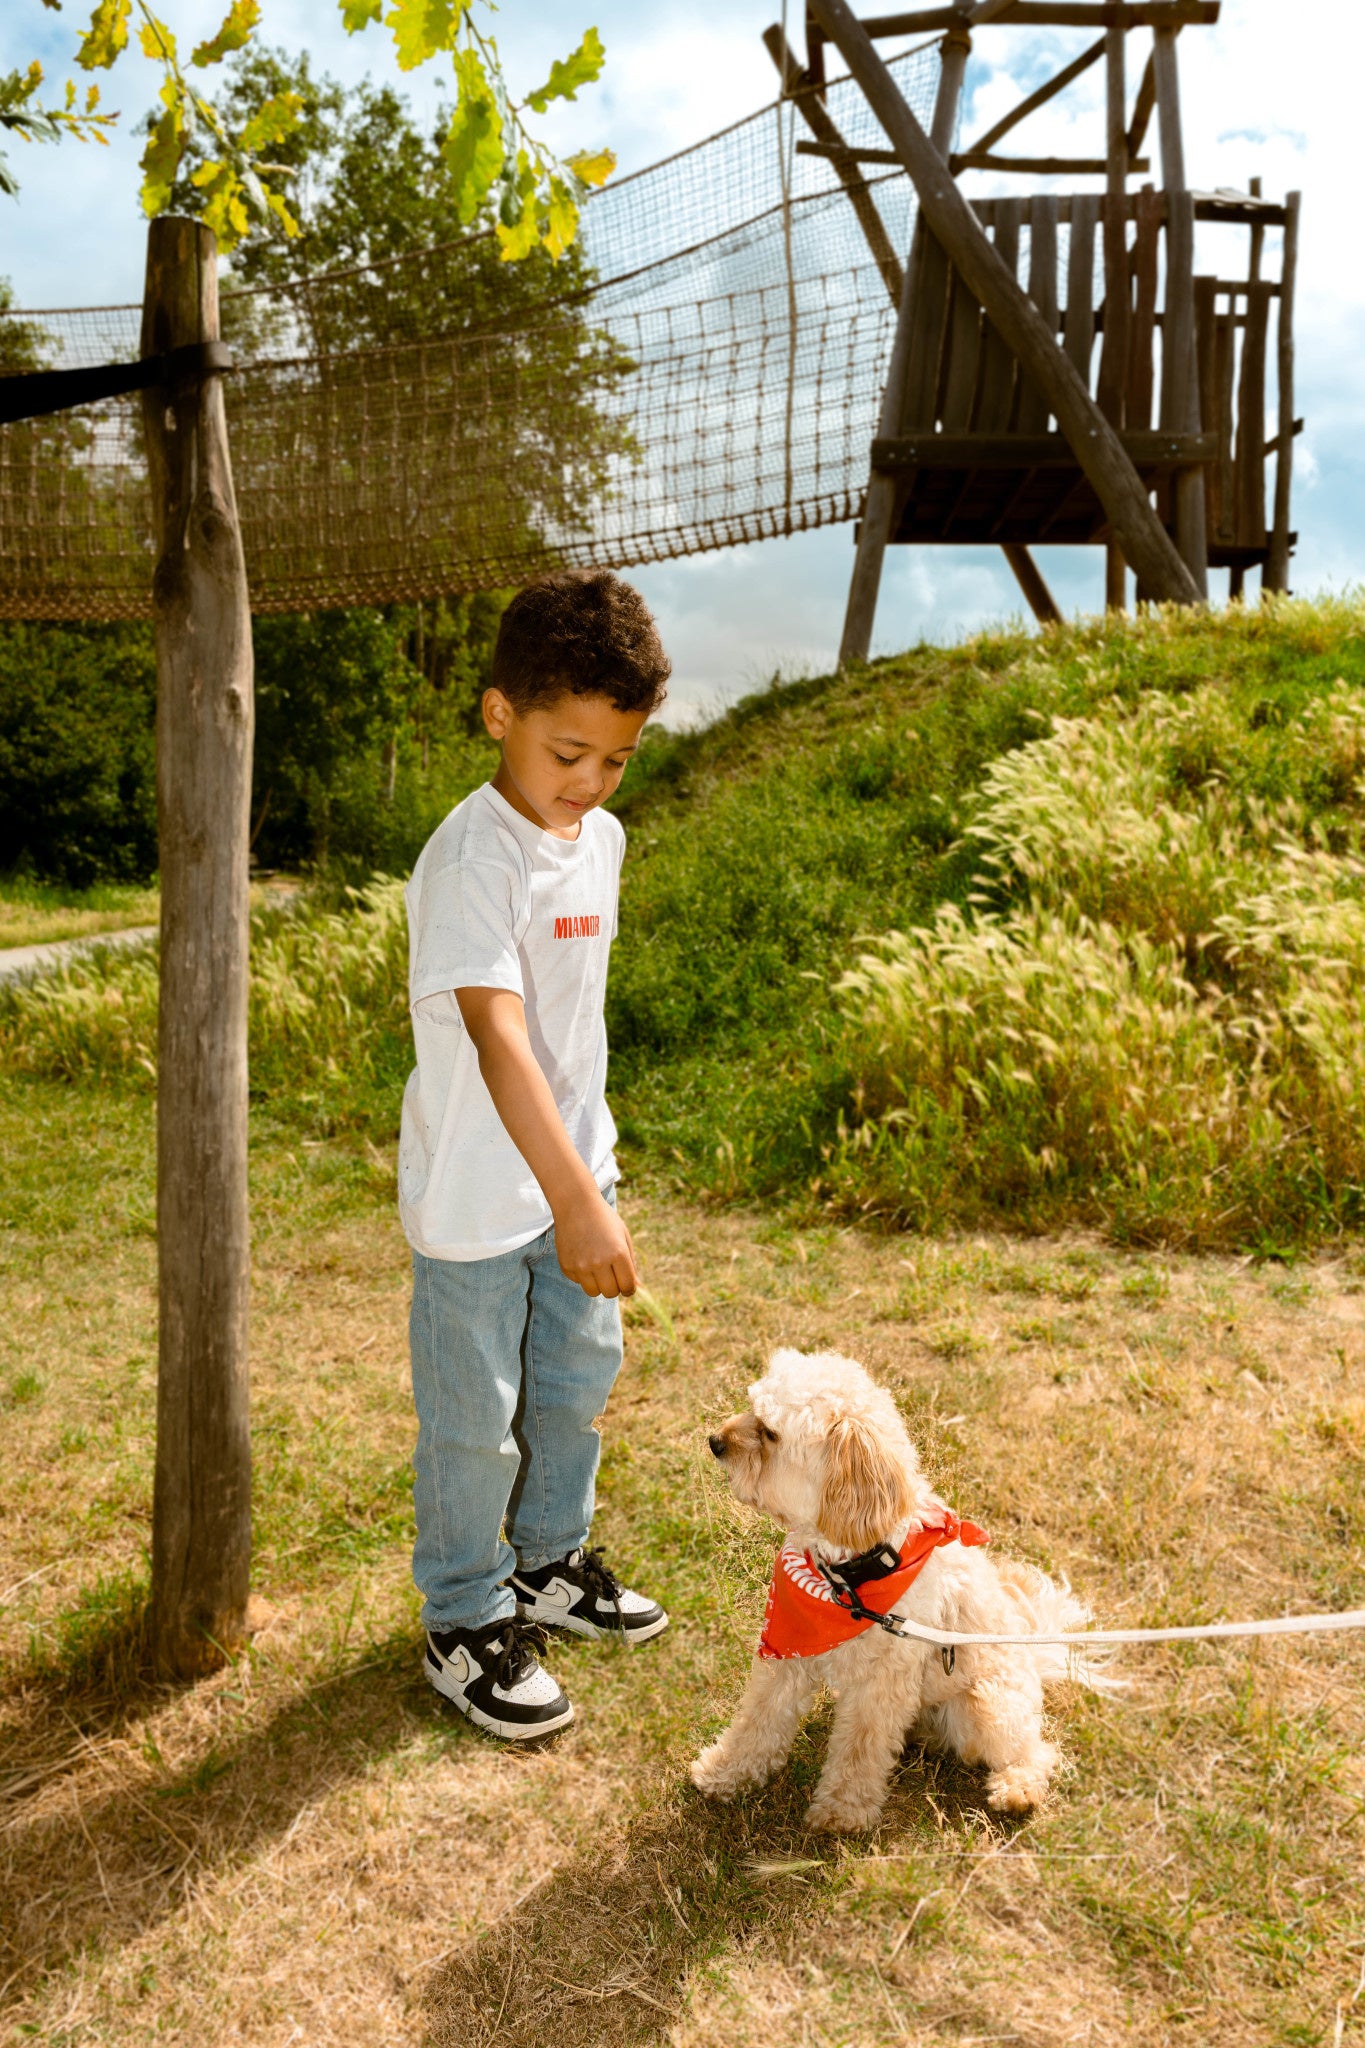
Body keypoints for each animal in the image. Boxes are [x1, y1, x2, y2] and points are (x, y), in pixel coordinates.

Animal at [691, 1347, 1111, 1833]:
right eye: (752, 1408)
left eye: (771, 1433)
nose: (714, 1441)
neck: (846, 1580)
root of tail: (1032, 1654)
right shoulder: (787, 1653)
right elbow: (757, 1721)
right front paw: (724, 1773)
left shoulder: (881, 1682)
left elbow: (859, 1749)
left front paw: (842, 1812)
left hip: (987, 1702)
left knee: (1035, 1750)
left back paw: (1017, 1789)